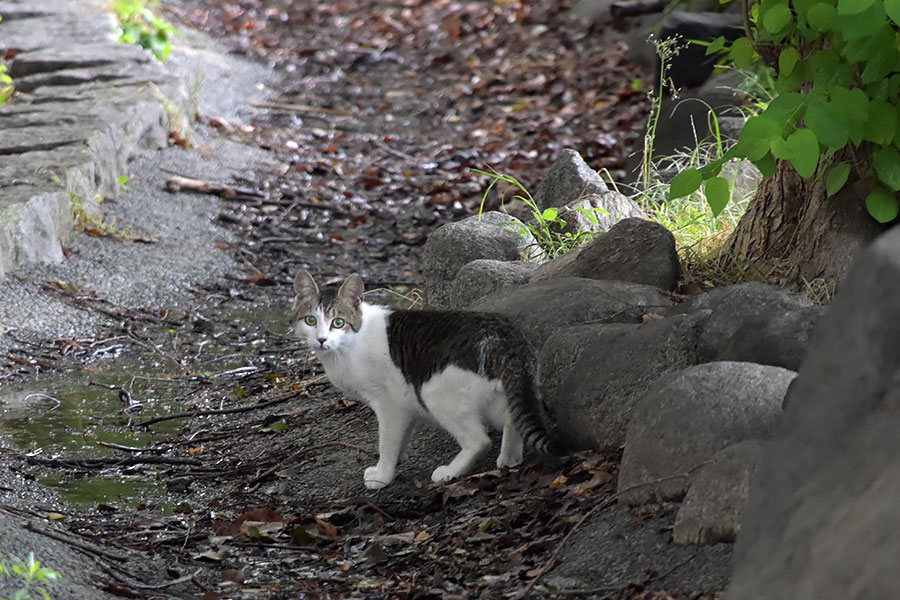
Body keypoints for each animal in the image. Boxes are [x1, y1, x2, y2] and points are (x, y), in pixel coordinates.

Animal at [294, 270, 564, 490]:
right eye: (311, 320)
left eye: (338, 323)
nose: (321, 340)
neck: (348, 347)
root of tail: (507, 337)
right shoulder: (406, 405)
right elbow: (399, 438)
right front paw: (394, 462)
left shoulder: (389, 405)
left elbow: (387, 441)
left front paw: (383, 475)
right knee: (513, 416)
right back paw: (509, 459)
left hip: (434, 391)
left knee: (480, 441)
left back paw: (450, 472)